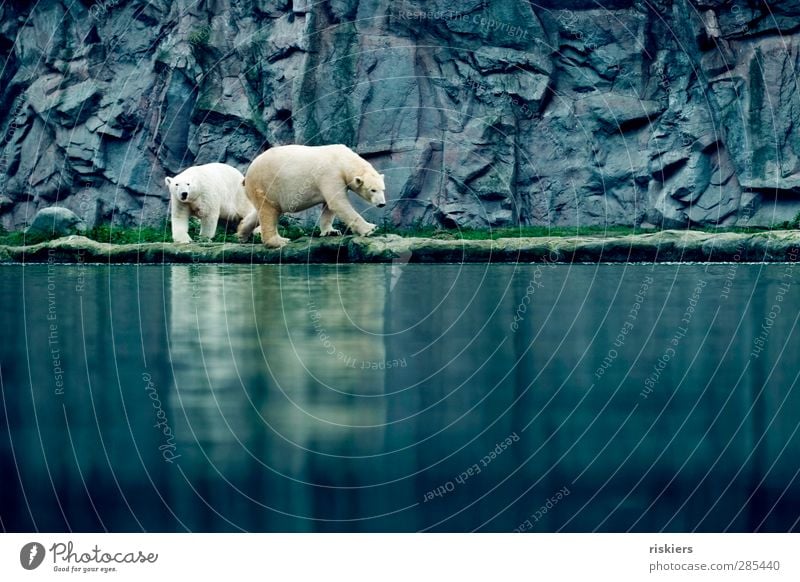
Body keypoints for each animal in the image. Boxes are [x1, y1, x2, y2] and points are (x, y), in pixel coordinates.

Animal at [239, 146, 386, 249]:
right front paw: (370, 228)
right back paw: (280, 241)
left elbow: (328, 207)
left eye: (383, 189)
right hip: (266, 183)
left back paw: (242, 234)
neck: (341, 159)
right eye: (373, 190)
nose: (382, 204)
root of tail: (248, 173)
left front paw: (331, 232)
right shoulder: (331, 174)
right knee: (269, 211)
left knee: (261, 211)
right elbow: (338, 203)